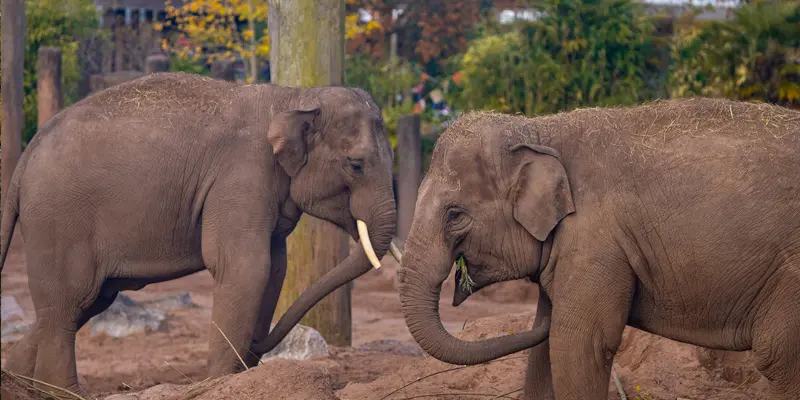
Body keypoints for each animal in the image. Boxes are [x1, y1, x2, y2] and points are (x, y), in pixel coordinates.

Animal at [0, 72, 403, 395]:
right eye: (356, 165)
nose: (257, 346)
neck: (294, 98)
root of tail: (24, 158)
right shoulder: (240, 176)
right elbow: (245, 267)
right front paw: (222, 380)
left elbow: (275, 269)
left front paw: (245, 373)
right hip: (59, 220)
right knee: (68, 303)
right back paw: (64, 393)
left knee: (87, 302)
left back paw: (20, 382)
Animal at [396, 98, 800, 400]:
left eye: (455, 215)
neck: (540, 129)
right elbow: (545, 349)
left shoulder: (595, 240)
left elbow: (579, 344)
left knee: (779, 358)